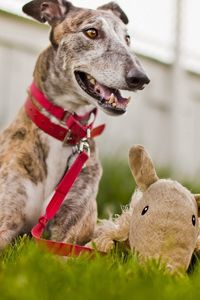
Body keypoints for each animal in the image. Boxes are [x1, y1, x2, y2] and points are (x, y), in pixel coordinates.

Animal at [0, 0, 149, 248]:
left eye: (127, 38)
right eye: (92, 32)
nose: (141, 79)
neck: (64, 130)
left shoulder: (71, 230)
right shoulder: (6, 219)